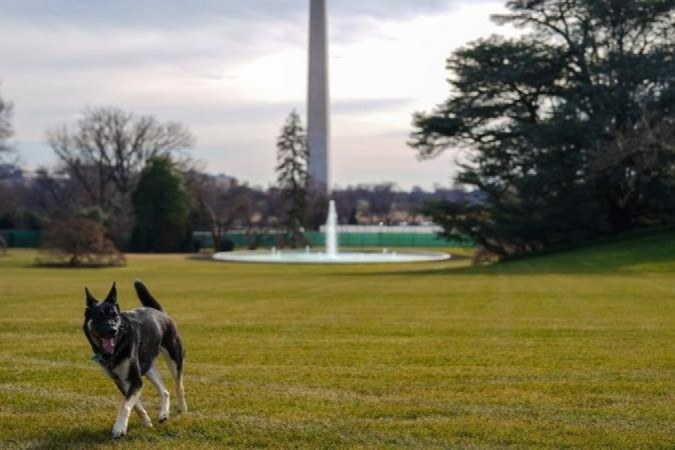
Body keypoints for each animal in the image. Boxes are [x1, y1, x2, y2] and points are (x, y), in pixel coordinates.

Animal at [83, 280, 187, 438]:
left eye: (115, 316)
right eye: (99, 316)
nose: (113, 330)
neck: (118, 345)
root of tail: (160, 312)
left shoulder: (135, 379)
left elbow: (125, 404)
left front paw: (119, 427)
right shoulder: (122, 381)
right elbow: (135, 405)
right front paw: (146, 422)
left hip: (174, 359)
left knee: (178, 385)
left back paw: (182, 408)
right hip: (149, 368)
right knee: (165, 391)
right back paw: (163, 414)